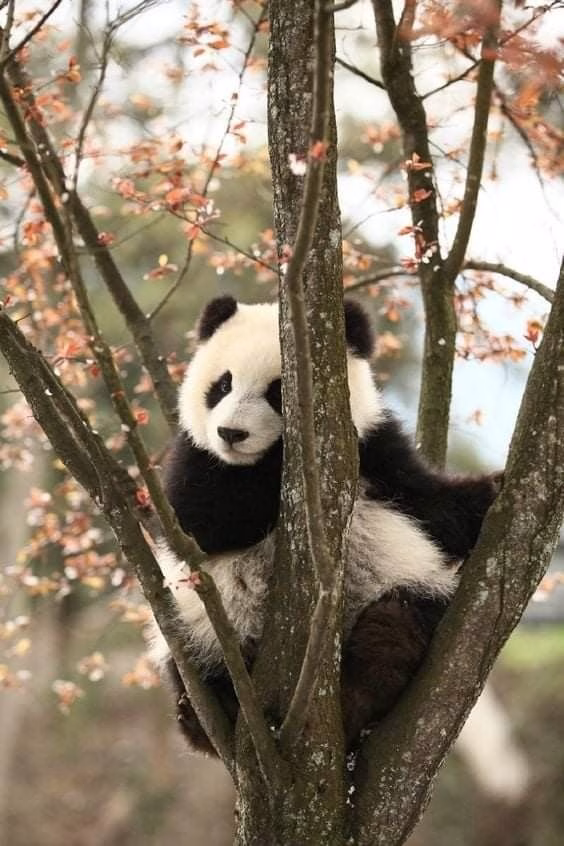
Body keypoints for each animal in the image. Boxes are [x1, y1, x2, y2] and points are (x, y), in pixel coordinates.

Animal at [149, 295, 499, 755]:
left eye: (277, 393)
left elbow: (433, 507)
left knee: (395, 627)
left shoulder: (377, 450)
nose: (231, 433)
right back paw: (205, 714)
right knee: (191, 663)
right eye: (222, 385)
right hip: (200, 625)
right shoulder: (193, 460)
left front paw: (492, 490)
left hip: (406, 593)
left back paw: (358, 699)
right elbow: (201, 522)